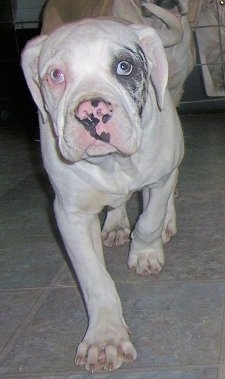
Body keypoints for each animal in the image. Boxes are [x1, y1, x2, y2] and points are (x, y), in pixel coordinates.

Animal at [21, 19, 184, 372]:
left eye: (124, 67)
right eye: (56, 75)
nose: (91, 111)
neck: (113, 163)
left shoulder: (159, 178)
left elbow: (149, 218)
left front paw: (145, 253)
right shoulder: (70, 215)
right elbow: (93, 277)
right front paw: (105, 337)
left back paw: (165, 223)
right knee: (117, 203)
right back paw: (116, 225)